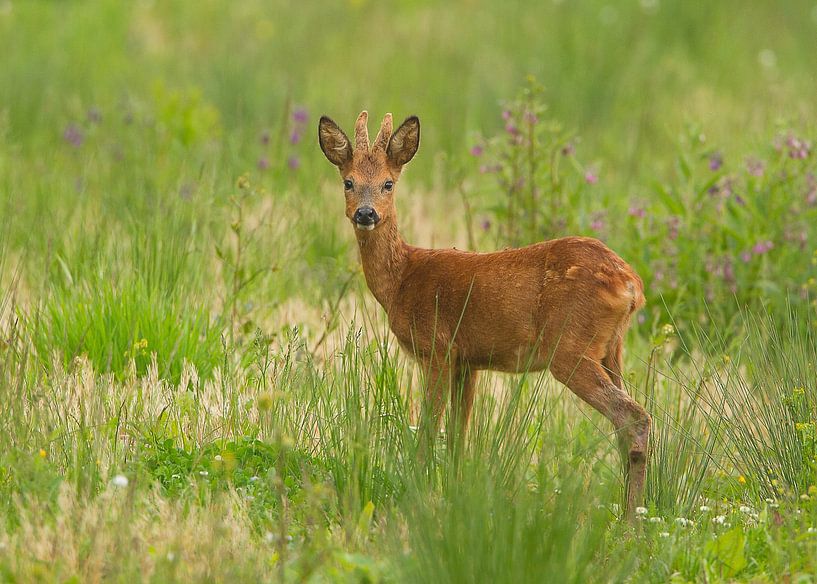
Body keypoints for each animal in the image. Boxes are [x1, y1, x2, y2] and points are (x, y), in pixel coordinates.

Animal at [318, 109, 652, 516]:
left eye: (388, 184)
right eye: (348, 182)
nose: (365, 214)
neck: (402, 280)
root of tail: (631, 283)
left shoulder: (438, 348)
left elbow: (429, 428)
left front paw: (418, 491)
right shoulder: (468, 362)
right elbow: (457, 437)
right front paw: (453, 493)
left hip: (569, 347)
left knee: (633, 417)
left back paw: (630, 520)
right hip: (611, 349)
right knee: (626, 423)